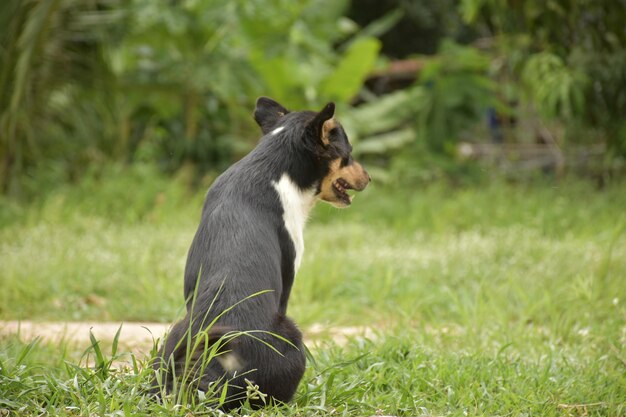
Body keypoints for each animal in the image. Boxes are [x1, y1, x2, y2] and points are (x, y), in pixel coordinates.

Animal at [154, 96, 370, 406]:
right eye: (349, 153)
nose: (369, 177)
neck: (275, 169)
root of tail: (222, 354)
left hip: (173, 339)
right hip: (293, 338)